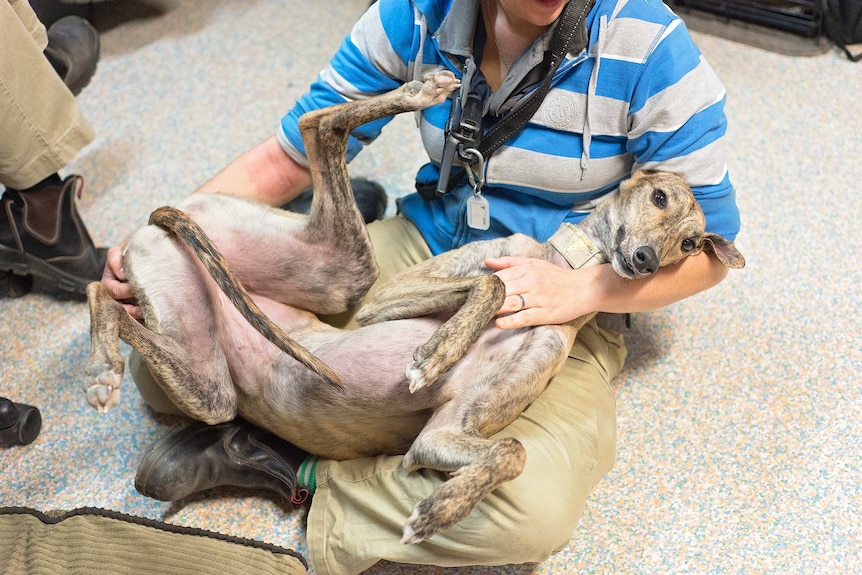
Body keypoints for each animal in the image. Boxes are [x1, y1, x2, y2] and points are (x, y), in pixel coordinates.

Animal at [84, 71, 744, 544]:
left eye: (691, 245)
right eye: (659, 197)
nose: (644, 262)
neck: (562, 265)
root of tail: (155, 227)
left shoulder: (443, 435)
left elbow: (510, 451)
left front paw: (437, 511)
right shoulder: (386, 303)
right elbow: (492, 287)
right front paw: (435, 354)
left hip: (247, 340)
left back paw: (105, 361)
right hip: (340, 286)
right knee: (314, 123)